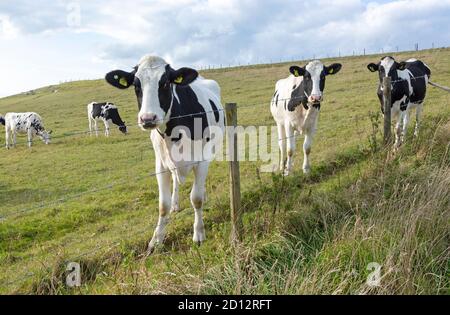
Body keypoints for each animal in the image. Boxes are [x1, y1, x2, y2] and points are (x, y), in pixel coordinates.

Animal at [105, 55, 225, 254]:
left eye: (166, 83)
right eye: (136, 85)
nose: (148, 119)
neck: (174, 133)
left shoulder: (202, 160)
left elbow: (196, 199)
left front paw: (199, 233)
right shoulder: (160, 164)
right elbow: (163, 206)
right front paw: (156, 241)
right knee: (176, 181)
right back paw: (176, 204)